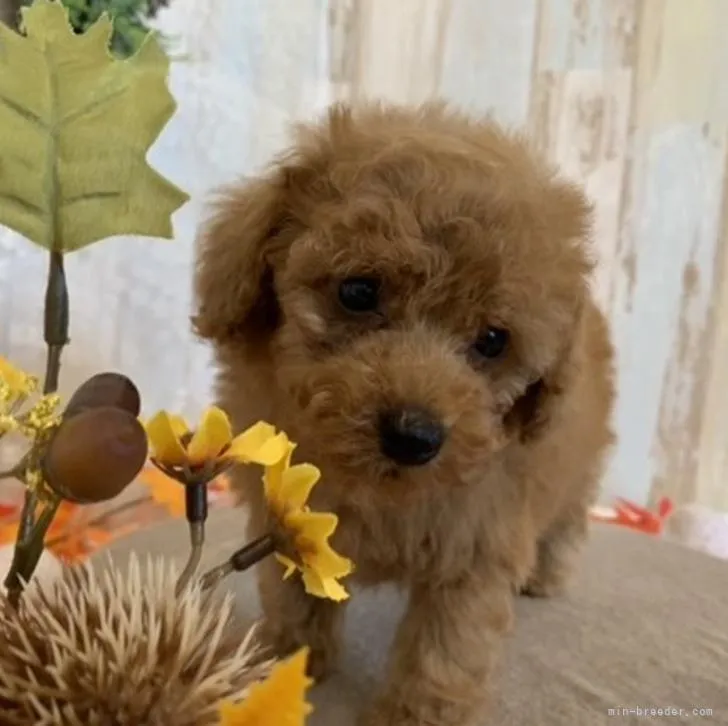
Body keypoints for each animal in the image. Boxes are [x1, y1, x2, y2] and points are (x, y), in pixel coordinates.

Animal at [192, 102, 616, 726]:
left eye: (493, 341)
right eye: (358, 291)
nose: (415, 435)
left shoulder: (477, 539)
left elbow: (447, 645)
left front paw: (417, 713)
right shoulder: (287, 513)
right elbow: (293, 595)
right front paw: (288, 662)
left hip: (579, 471)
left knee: (569, 517)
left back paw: (547, 575)